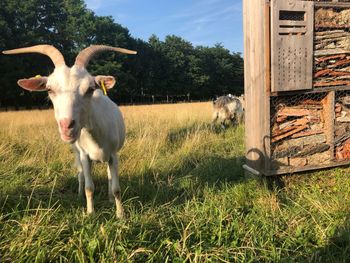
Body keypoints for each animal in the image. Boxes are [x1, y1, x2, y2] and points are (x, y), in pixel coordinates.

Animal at [2, 44, 137, 219]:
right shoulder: (85, 156)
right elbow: (89, 187)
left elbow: (116, 188)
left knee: (108, 176)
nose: (67, 127)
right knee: (80, 174)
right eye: (49, 89)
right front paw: (90, 213)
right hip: (76, 152)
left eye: (90, 89)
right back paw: (79, 195)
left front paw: (121, 215)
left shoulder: (114, 155)